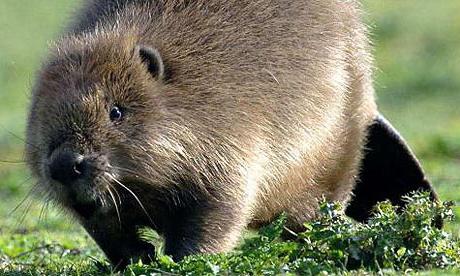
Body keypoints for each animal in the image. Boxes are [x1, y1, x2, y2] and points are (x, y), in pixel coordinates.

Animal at [25, 0, 438, 268]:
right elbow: (104, 227)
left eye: (116, 112)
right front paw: (139, 257)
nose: (66, 164)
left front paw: (179, 260)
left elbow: (218, 211)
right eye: (40, 117)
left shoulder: (230, 148)